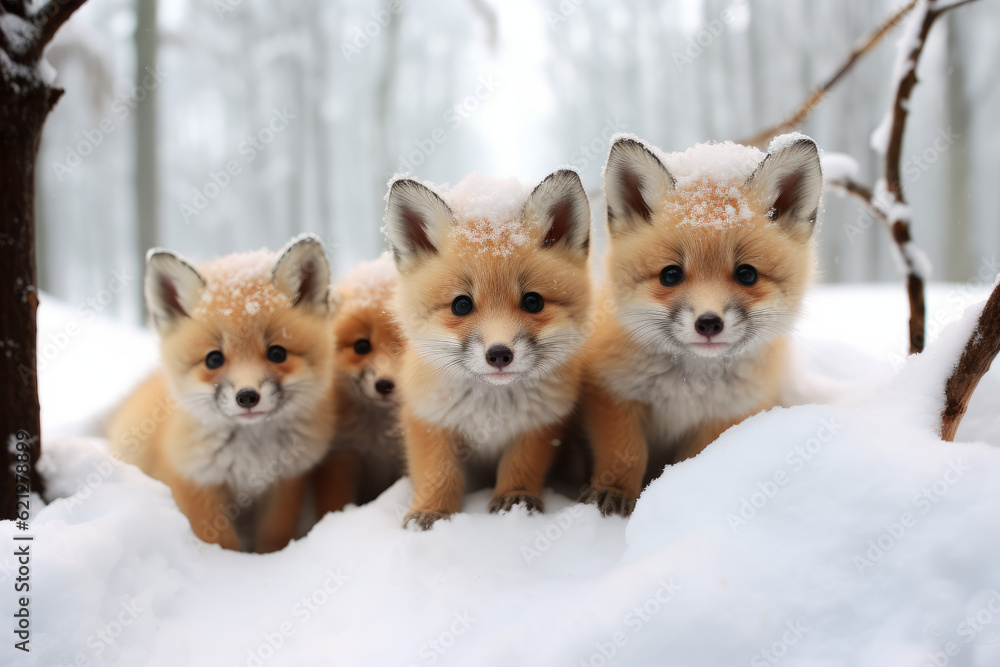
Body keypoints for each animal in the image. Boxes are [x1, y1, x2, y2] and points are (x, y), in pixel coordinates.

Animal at [108, 235, 336, 552]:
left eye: (277, 353)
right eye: (214, 359)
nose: (247, 396)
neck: (251, 456)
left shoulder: (285, 483)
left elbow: (272, 538)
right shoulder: (195, 482)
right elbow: (220, 543)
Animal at [383, 170, 593, 530]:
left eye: (533, 302)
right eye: (461, 305)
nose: (499, 355)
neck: (490, 408)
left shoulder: (540, 424)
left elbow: (520, 465)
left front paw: (516, 501)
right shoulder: (428, 419)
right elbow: (438, 473)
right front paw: (433, 511)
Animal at [580, 133, 823, 516]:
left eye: (746, 274)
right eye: (671, 275)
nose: (708, 323)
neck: (688, 388)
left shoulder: (722, 419)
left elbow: (689, 464)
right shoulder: (614, 395)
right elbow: (625, 454)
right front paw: (614, 492)